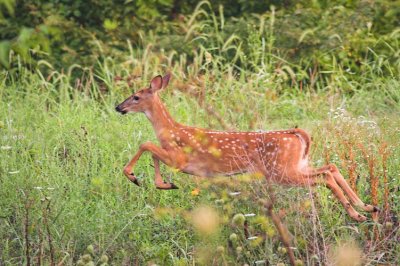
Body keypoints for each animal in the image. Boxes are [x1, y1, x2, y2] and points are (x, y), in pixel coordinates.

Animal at [115, 74, 378, 221]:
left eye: (136, 96)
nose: (119, 107)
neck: (170, 130)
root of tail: (296, 135)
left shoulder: (180, 159)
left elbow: (146, 143)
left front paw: (133, 176)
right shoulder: (176, 159)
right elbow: (152, 151)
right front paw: (164, 184)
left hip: (280, 171)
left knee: (324, 177)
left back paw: (357, 214)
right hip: (295, 165)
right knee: (330, 167)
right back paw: (367, 207)